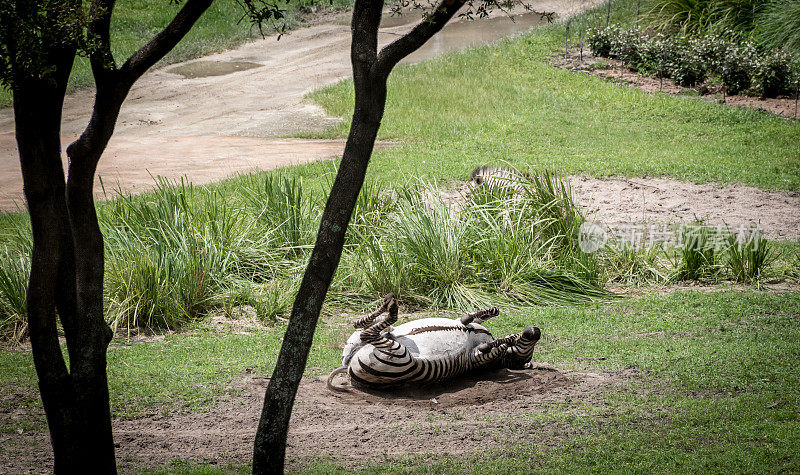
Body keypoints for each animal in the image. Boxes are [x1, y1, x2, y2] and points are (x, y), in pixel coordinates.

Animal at [326, 296, 544, 392]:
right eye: (527, 350)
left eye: (519, 359)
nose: (536, 330)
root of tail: (347, 368)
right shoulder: (469, 323)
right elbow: (483, 314)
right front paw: (484, 315)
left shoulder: (478, 359)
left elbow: (490, 348)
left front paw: (505, 341)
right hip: (366, 342)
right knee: (363, 326)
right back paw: (388, 305)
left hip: (399, 356)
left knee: (368, 332)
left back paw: (391, 307)